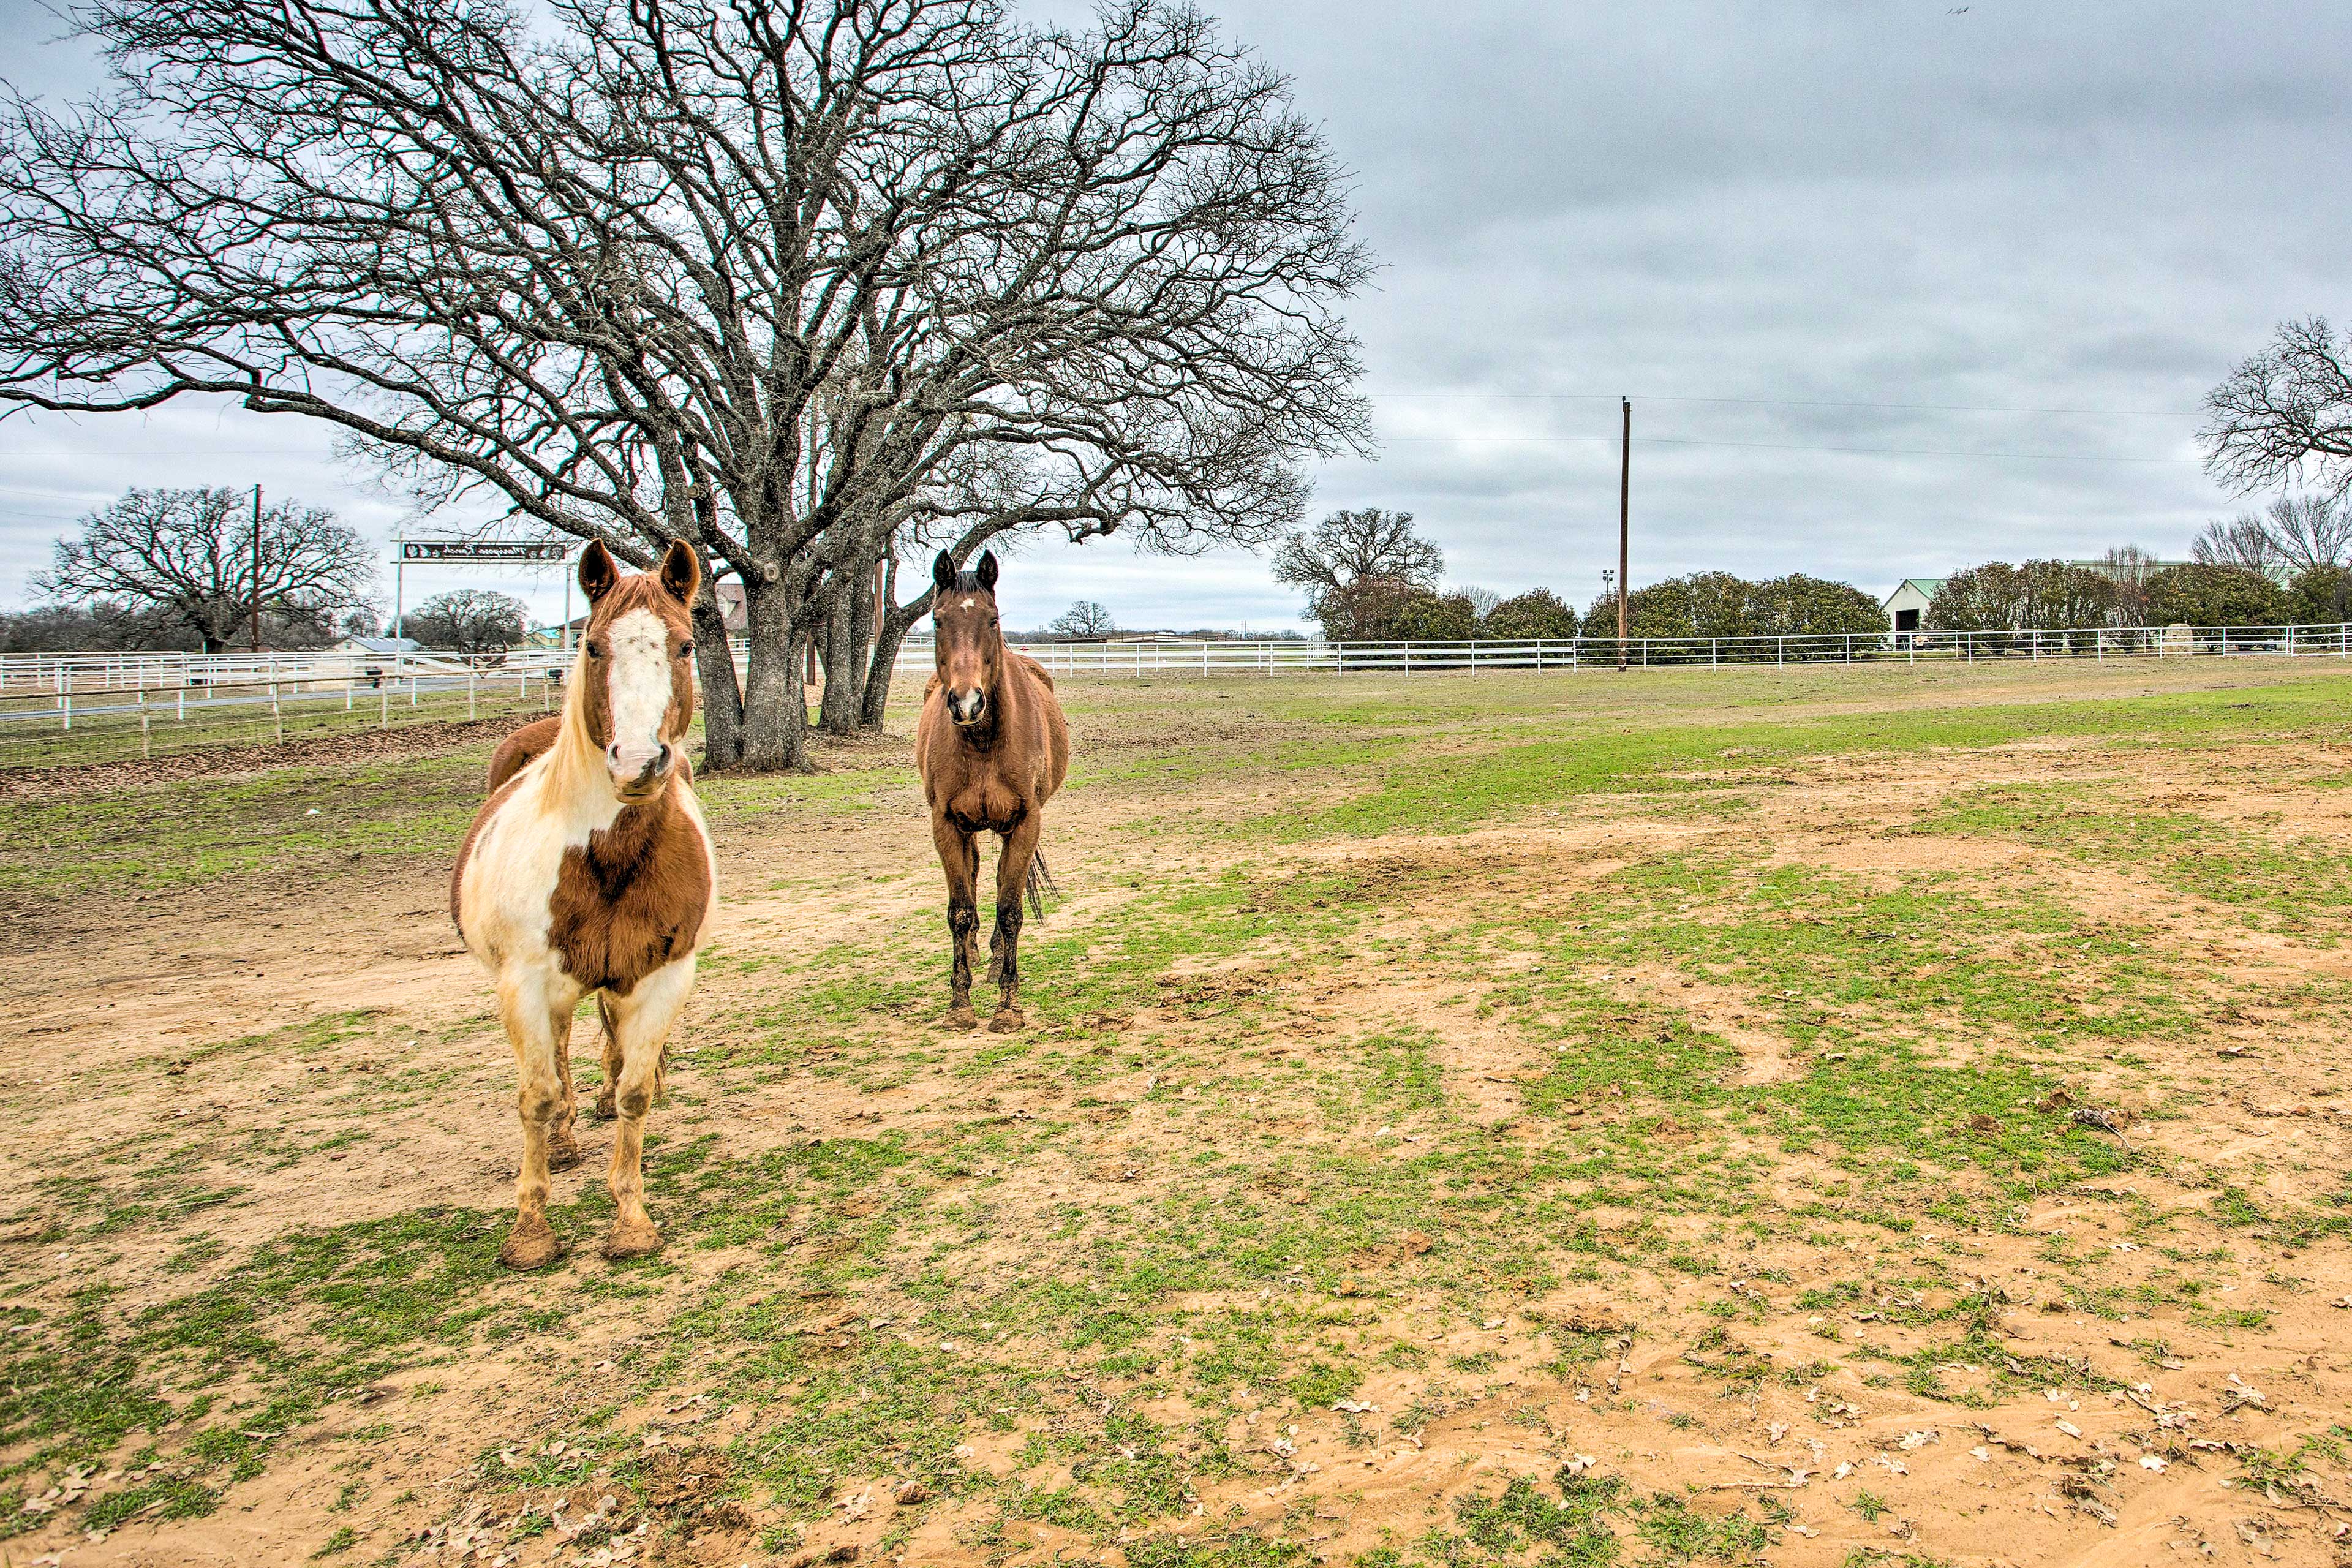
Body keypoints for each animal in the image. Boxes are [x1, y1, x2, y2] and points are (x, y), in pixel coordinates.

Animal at [449, 545, 715, 1269]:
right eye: (593, 645)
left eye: (685, 644)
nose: (638, 762)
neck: (609, 855)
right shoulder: (524, 982)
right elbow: (536, 1097)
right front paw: (530, 1232)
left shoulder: (663, 974)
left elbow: (634, 1089)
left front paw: (631, 1222)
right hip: (545, 988)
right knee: (561, 1056)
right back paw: (567, 1137)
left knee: (605, 1046)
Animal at [912, 545, 1072, 1034]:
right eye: (937, 620)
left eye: (994, 620)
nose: (966, 703)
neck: (982, 742)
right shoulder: (946, 824)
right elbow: (959, 910)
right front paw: (959, 1004)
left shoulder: (1025, 822)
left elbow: (1011, 907)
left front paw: (1008, 1005)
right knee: (977, 875)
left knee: (1005, 884)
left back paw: (997, 959)